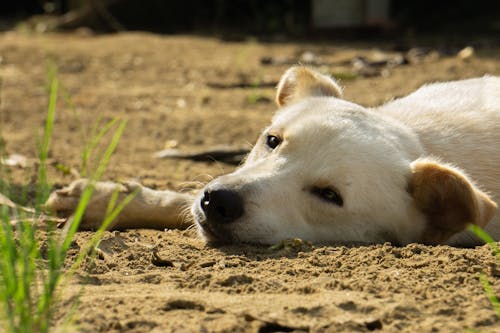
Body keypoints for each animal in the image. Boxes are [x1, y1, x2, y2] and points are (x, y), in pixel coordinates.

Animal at [45, 66, 498, 245]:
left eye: (330, 196)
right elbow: (180, 199)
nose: (219, 202)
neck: (422, 134)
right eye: (272, 140)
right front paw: (100, 199)